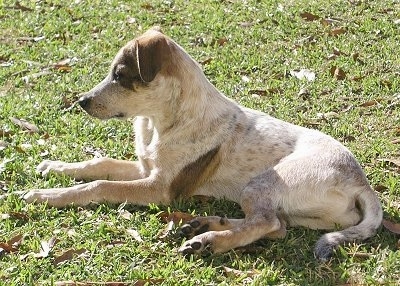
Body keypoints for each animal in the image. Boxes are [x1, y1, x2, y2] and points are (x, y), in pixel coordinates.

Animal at [23, 27, 382, 262]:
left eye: (121, 75)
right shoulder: (145, 167)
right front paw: (54, 166)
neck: (159, 123)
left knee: (267, 222)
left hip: (264, 181)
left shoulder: (161, 189)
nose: (81, 102)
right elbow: (100, 164)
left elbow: (98, 185)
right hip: (303, 214)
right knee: (277, 226)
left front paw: (46, 196)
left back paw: (208, 242)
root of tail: (362, 183)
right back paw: (205, 223)